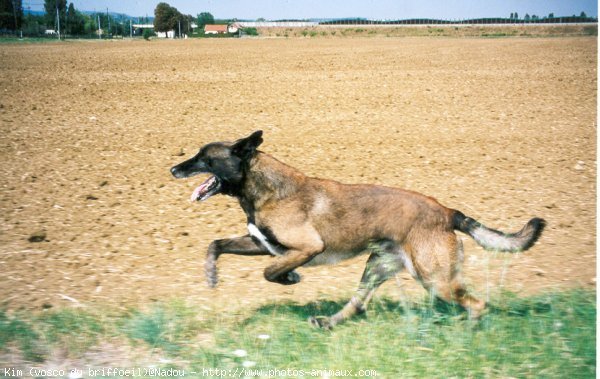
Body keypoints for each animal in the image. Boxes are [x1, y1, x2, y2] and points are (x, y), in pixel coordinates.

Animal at [170, 131, 548, 330]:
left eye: (204, 158)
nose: (173, 169)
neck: (263, 187)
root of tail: (447, 212)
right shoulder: (261, 243)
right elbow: (216, 245)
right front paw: (211, 276)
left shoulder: (306, 247)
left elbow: (269, 271)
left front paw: (291, 279)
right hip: (377, 267)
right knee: (358, 303)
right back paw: (328, 322)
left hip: (435, 279)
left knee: (478, 303)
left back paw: (467, 330)